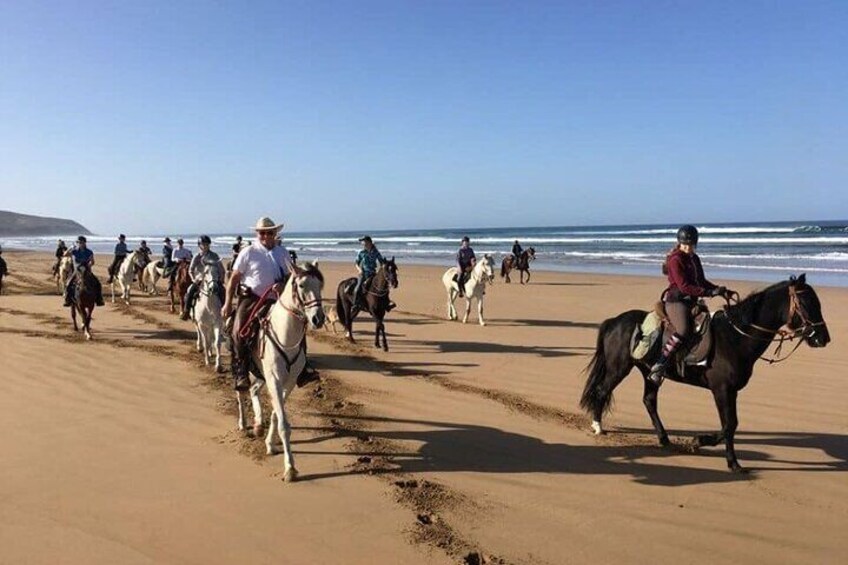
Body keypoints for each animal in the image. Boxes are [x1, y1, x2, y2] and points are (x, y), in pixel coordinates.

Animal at [237, 262, 326, 482]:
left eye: (320, 284)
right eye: (301, 285)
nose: (318, 318)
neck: (285, 334)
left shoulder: (289, 382)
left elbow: (277, 414)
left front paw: (270, 443)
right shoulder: (275, 380)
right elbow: (284, 424)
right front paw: (290, 468)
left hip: (261, 375)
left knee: (253, 390)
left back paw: (258, 424)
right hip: (243, 365)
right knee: (241, 391)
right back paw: (243, 424)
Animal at [580, 274, 832, 472]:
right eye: (806, 303)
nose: (823, 338)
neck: (735, 337)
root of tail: (614, 321)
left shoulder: (731, 391)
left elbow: (730, 424)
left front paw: (704, 445)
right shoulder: (722, 389)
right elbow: (729, 425)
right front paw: (724, 457)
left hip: (648, 372)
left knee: (649, 400)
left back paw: (664, 438)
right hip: (618, 368)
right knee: (602, 391)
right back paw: (598, 427)